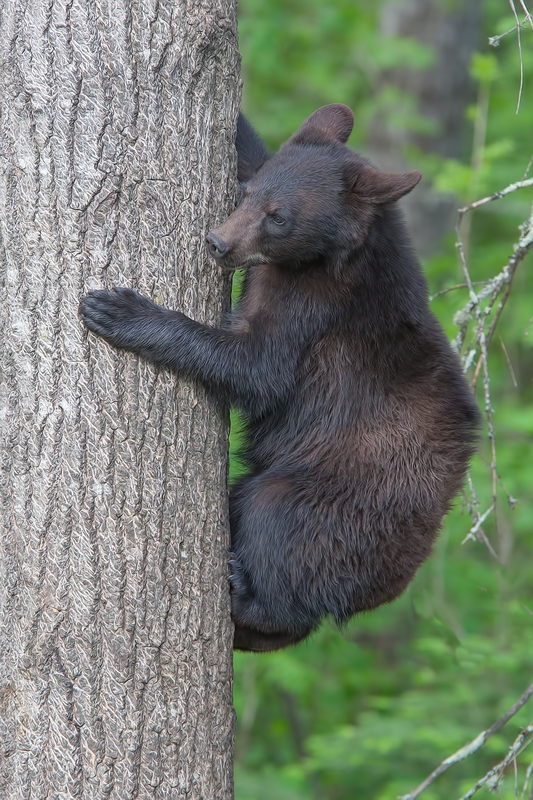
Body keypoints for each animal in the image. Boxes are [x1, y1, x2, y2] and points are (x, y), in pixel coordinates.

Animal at [81, 104, 480, 648]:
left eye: (280, 217)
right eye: (249, 194)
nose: (218, 243)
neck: (321, 259)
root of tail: (390, 586)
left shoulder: (315, 310)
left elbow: (256, 368)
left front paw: (119, 310)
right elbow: (250, 149)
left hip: (335, 495)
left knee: (280, 532)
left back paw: (245, 593)